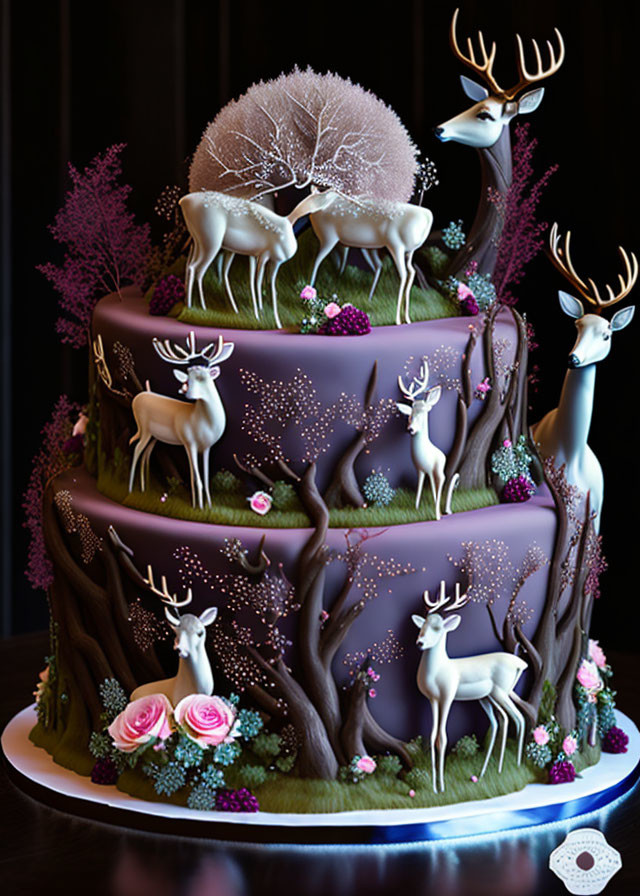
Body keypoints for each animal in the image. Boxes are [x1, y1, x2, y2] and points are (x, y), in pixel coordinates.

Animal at [126, 330, 234, 512]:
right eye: (187, 377)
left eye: (203, 377)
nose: (188, 394)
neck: (202, 420)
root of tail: (137, 398)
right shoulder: (189, 442)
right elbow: (197, 479)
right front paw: (199, 508)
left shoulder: (206, 447)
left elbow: (204, 479)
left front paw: (207, 506)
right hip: (144, 428)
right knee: (136, 449)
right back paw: (130, 489)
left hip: (154, 437)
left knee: (145, 454)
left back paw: (144, 488)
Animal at [412, 584, 528, 796]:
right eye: (422, 626)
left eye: (437, 627)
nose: (419, 643)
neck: (438, 669)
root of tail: (520, 664)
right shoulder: (432, 699)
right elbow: (432, 737)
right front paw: (433, 787)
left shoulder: (447, 698)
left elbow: (442, 737)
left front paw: (442, 787)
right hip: (488, 698)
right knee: (501, 721)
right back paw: (486, 773)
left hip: (501, 694)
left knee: (518, 717)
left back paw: (514, 766)